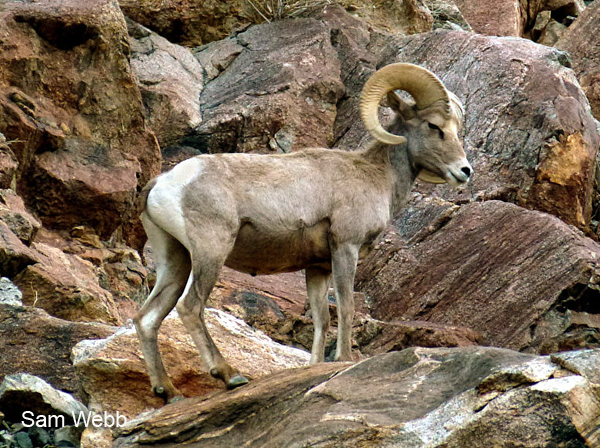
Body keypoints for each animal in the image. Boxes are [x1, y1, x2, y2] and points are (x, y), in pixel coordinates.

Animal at [136, 62, 474, 402]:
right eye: (434, 126)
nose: (464, 171)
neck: (377, 176)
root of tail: (164, 182)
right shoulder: (345, 248)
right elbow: (346, 307)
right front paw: (344, 359)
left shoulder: (317, 267)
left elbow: (322, 317)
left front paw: (314, 366)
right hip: (210, 252)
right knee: (190, 307)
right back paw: (230, 376)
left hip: (175, 260)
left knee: (147, 319)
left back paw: (168, 392)